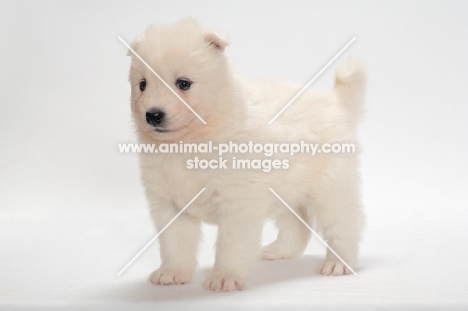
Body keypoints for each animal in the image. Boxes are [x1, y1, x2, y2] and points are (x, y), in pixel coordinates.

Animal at [127, 18, 366, 292]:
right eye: (142, 84)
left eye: (183, 83)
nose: (153, 115)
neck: (191, 142)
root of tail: (337, 102)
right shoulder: (169, 204)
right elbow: (174, 244)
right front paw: (172, 272)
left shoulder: (238, 203)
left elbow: (231, 244)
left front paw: (225, 277)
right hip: (287, 190)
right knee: (296, 226)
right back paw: (279, 250)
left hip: (330, 187)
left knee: (344, 223)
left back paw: (338, 263)